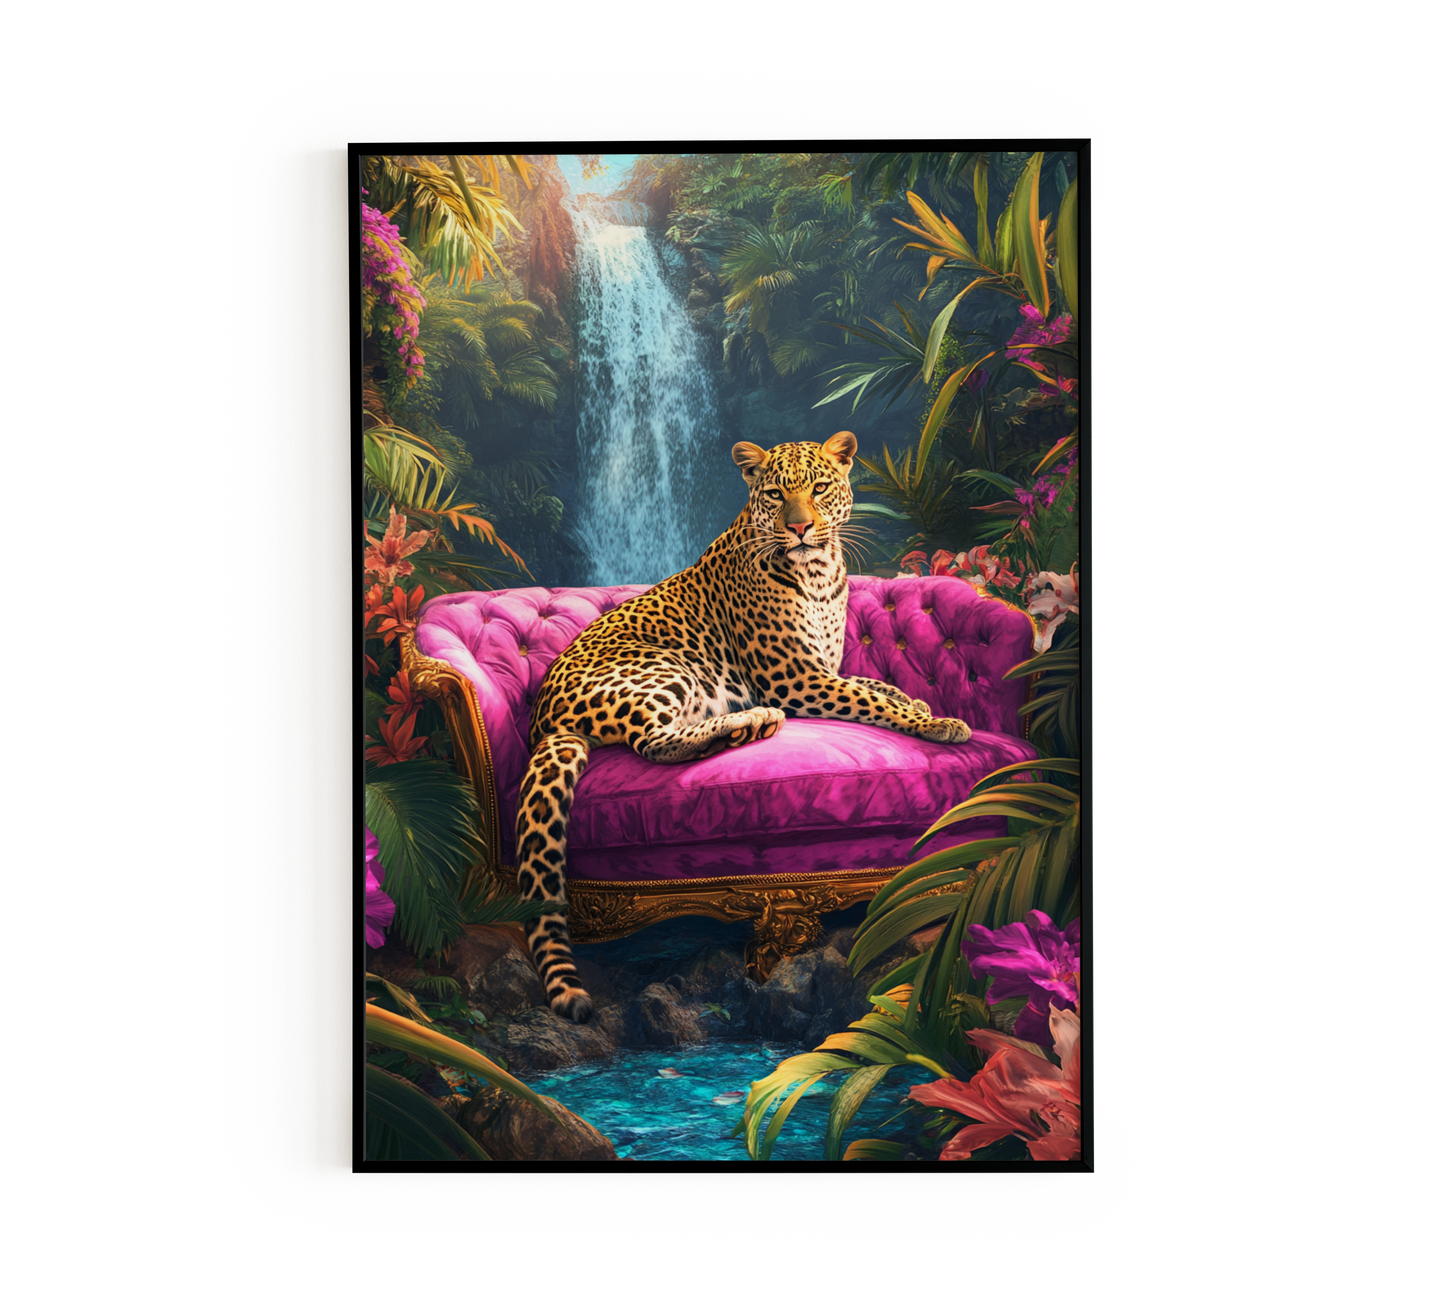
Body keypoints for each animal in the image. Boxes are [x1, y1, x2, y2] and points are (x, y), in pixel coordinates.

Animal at [515, 430, 972, 1023]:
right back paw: (752, 722)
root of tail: (543, 720)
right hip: (668, 666)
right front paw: (940, 722)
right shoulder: (795, 681)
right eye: (776, 494)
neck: (821, 571)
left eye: (819, 488)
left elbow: (876, 687)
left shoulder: (822, 671)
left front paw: (918, 699)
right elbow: (870, 700)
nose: (799, 528)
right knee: (654, 741)